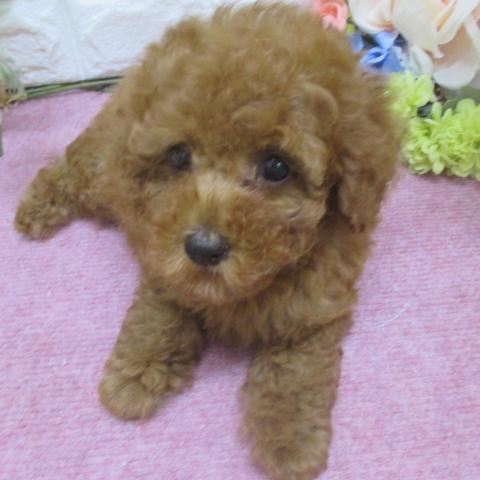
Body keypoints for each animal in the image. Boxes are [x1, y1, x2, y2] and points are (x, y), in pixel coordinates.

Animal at [15, 3, 400, 479]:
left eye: (276, 166)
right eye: (179, 156)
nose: (202, 249)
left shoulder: (318, 311)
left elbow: (297, 371)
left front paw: (290, 442)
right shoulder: (162, 260)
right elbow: (157, 313)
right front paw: (135, 374)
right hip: (106, 180)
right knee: (70, 167)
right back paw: (35, 209)